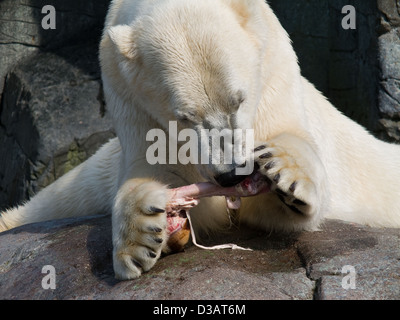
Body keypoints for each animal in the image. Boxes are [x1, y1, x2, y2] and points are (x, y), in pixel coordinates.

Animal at [0, 0, 400, 280]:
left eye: (239, 100)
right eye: (185, 117)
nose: (232, 174)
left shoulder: (273, 69)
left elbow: (292, 144)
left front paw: (283, 174)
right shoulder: (129, 96)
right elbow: (148, 168)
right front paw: (142, 238)